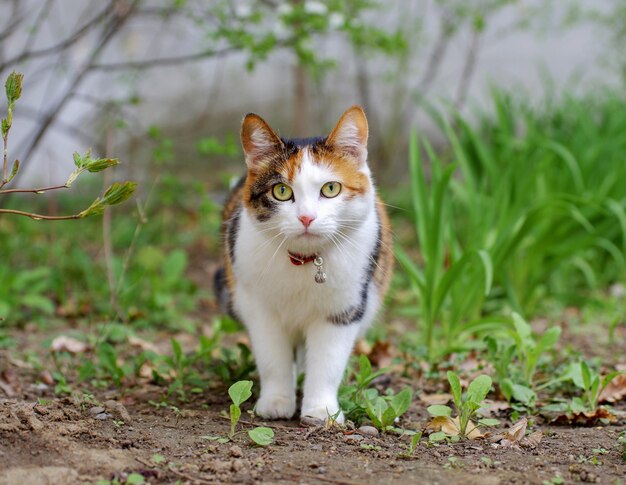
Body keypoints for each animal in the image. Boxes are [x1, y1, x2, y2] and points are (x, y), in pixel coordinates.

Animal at [214, 105, 390, 420]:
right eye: (281, 191)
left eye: (331, 188)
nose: (307, 217)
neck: (305, 261)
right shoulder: (258, 308)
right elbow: (273, 360)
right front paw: (276, 403)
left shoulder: (343, 310)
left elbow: (328, 364)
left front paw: (321, 411)